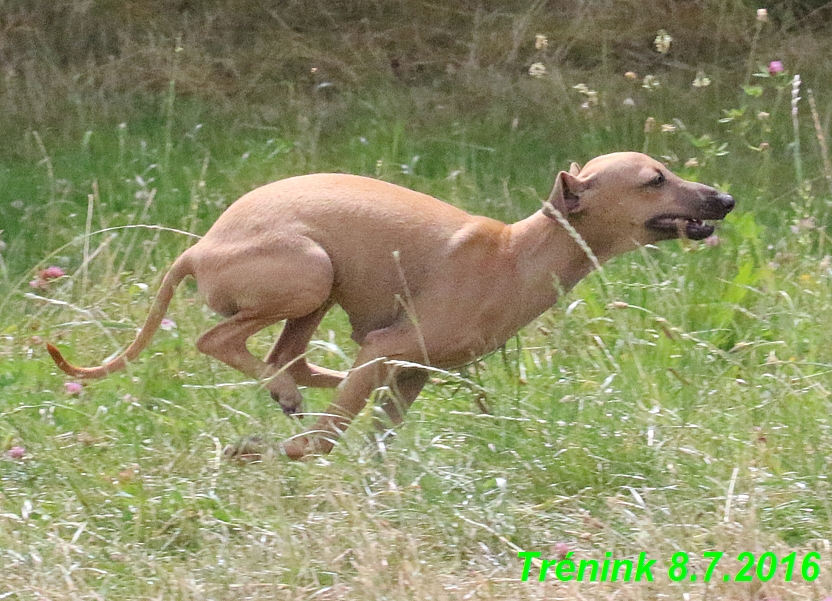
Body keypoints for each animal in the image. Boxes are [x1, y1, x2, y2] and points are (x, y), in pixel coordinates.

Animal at [48, 151, 732, 460]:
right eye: (654, 180)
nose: (725, 199)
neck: (517, 254)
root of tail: (199, 249)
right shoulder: (389, 348)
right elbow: (318, 443)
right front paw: (272, 453)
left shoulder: (409, 373)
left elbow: (377, 441)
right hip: (311, 272)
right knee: (223, 343)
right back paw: (283, 394)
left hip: (319, 297)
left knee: (292, 358)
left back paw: (293, 385)